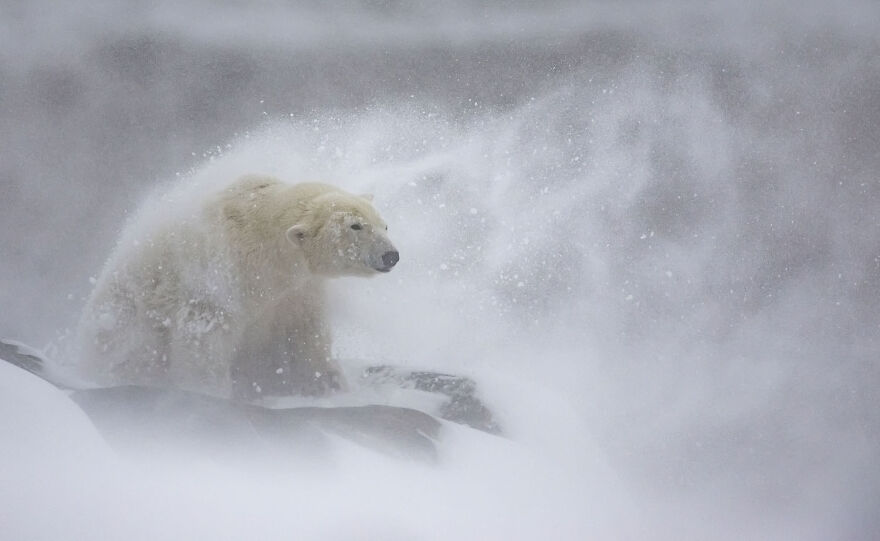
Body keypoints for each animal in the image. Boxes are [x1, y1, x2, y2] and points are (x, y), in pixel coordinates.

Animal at [74, 175, 398, 400]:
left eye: (383, 224)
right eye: (356, 226)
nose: (390, 255)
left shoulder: (298, 291)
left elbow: (306, 336)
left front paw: (330, 385)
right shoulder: (220, 277)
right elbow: (204, 336)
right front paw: (209, 392)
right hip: (124, 319)